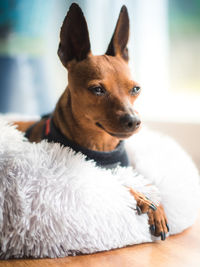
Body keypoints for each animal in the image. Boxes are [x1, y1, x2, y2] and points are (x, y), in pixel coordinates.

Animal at [18, 2, 170, 241]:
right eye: (97, 90)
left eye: (136, 89)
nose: (134, 121)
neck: (102, 146)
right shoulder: (88, 176)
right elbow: (116, 183)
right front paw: (141, 197)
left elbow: (148, 183)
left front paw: (158, 206)